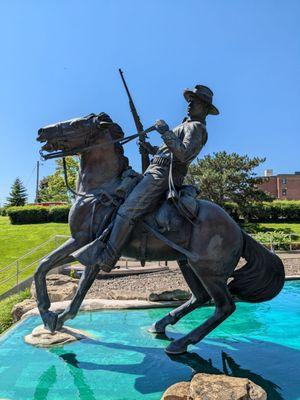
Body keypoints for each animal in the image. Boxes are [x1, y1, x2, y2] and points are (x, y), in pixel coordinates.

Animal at [34, 111, 284, 354]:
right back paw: (161, 324)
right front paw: (47, 312)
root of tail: (238, 230)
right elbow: (43, 265)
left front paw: (56, 318)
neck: (100, 189)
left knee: (224, 306)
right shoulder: (78, 242)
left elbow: (80, 287)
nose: (41, 131)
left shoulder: (89, 245)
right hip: (187, 263)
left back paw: (181, 343)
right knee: (201, 297)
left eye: (77, 124)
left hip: (208, 271)